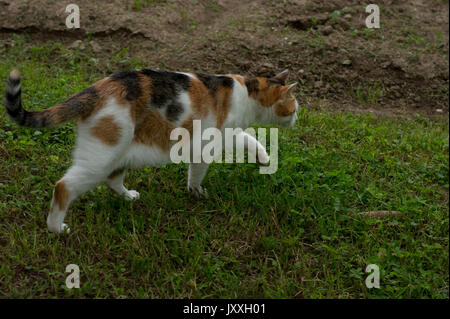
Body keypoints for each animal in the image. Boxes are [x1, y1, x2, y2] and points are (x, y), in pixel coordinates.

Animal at [5, 69, 298, 234]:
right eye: (294, 107)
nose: (297, 117)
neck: (247, 93)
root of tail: (96, 90)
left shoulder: (229, 135)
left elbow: (249, 139)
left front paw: (263, 159)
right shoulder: (204, 147)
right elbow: (196, 174)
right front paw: (198, 194)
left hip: (120, 154)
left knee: (113, 180)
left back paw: (129, 197)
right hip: (100, 158)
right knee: (63, 187)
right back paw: (56, 229)